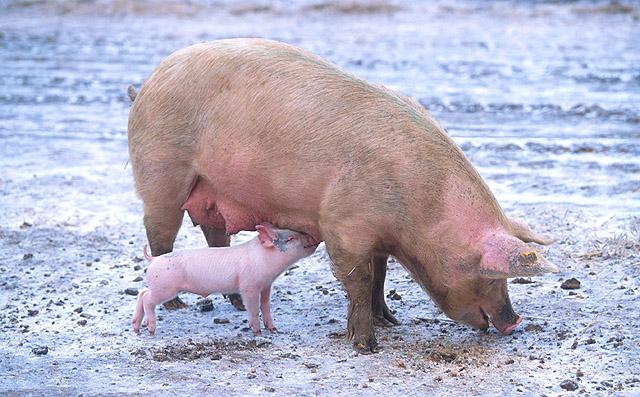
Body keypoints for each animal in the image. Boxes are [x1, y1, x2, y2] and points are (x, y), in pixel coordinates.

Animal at [132, 223, 318, 334]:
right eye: (291, 238)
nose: (313, 238)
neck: (264, 259)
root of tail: (154, 259)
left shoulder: (266, 285)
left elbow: (265, 306)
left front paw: (273, 329)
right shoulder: (249, 286)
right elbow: (253, 307)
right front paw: (257, 332)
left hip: (159, 286)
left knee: (142, 293)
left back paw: (136, 327)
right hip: (165, 287)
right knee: (147, 298)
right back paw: (150, 329)